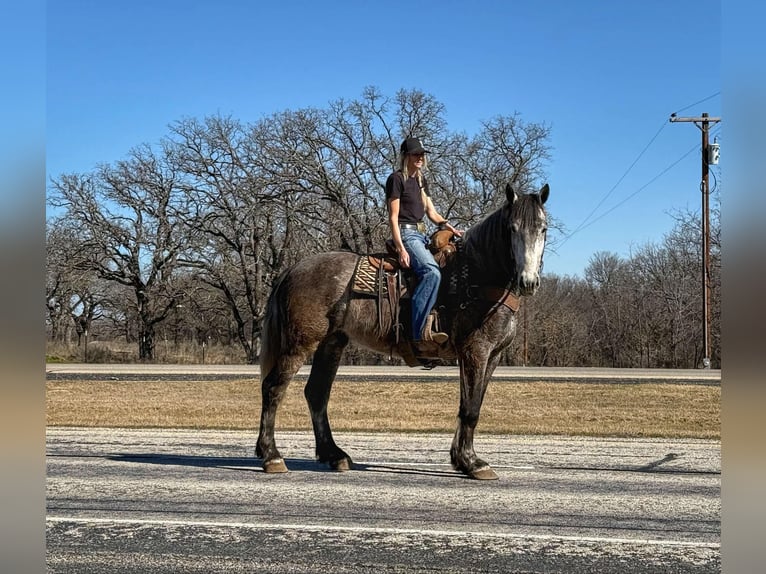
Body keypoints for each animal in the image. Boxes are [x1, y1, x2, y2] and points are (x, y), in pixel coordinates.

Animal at [256, 182, 549, 480]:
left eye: (543, 229)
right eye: (512, 228)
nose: (528, 281)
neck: (477, 275)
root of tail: (293, 269)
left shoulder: (493, 356)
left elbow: (470, 404)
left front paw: (460, 459)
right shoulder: (475, 351)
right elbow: (470, 409)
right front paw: (472, 462)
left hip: (331, 343)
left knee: (316, 394)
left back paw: (334, 455)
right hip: (300, 344)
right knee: (273, 388)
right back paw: (272, 456)